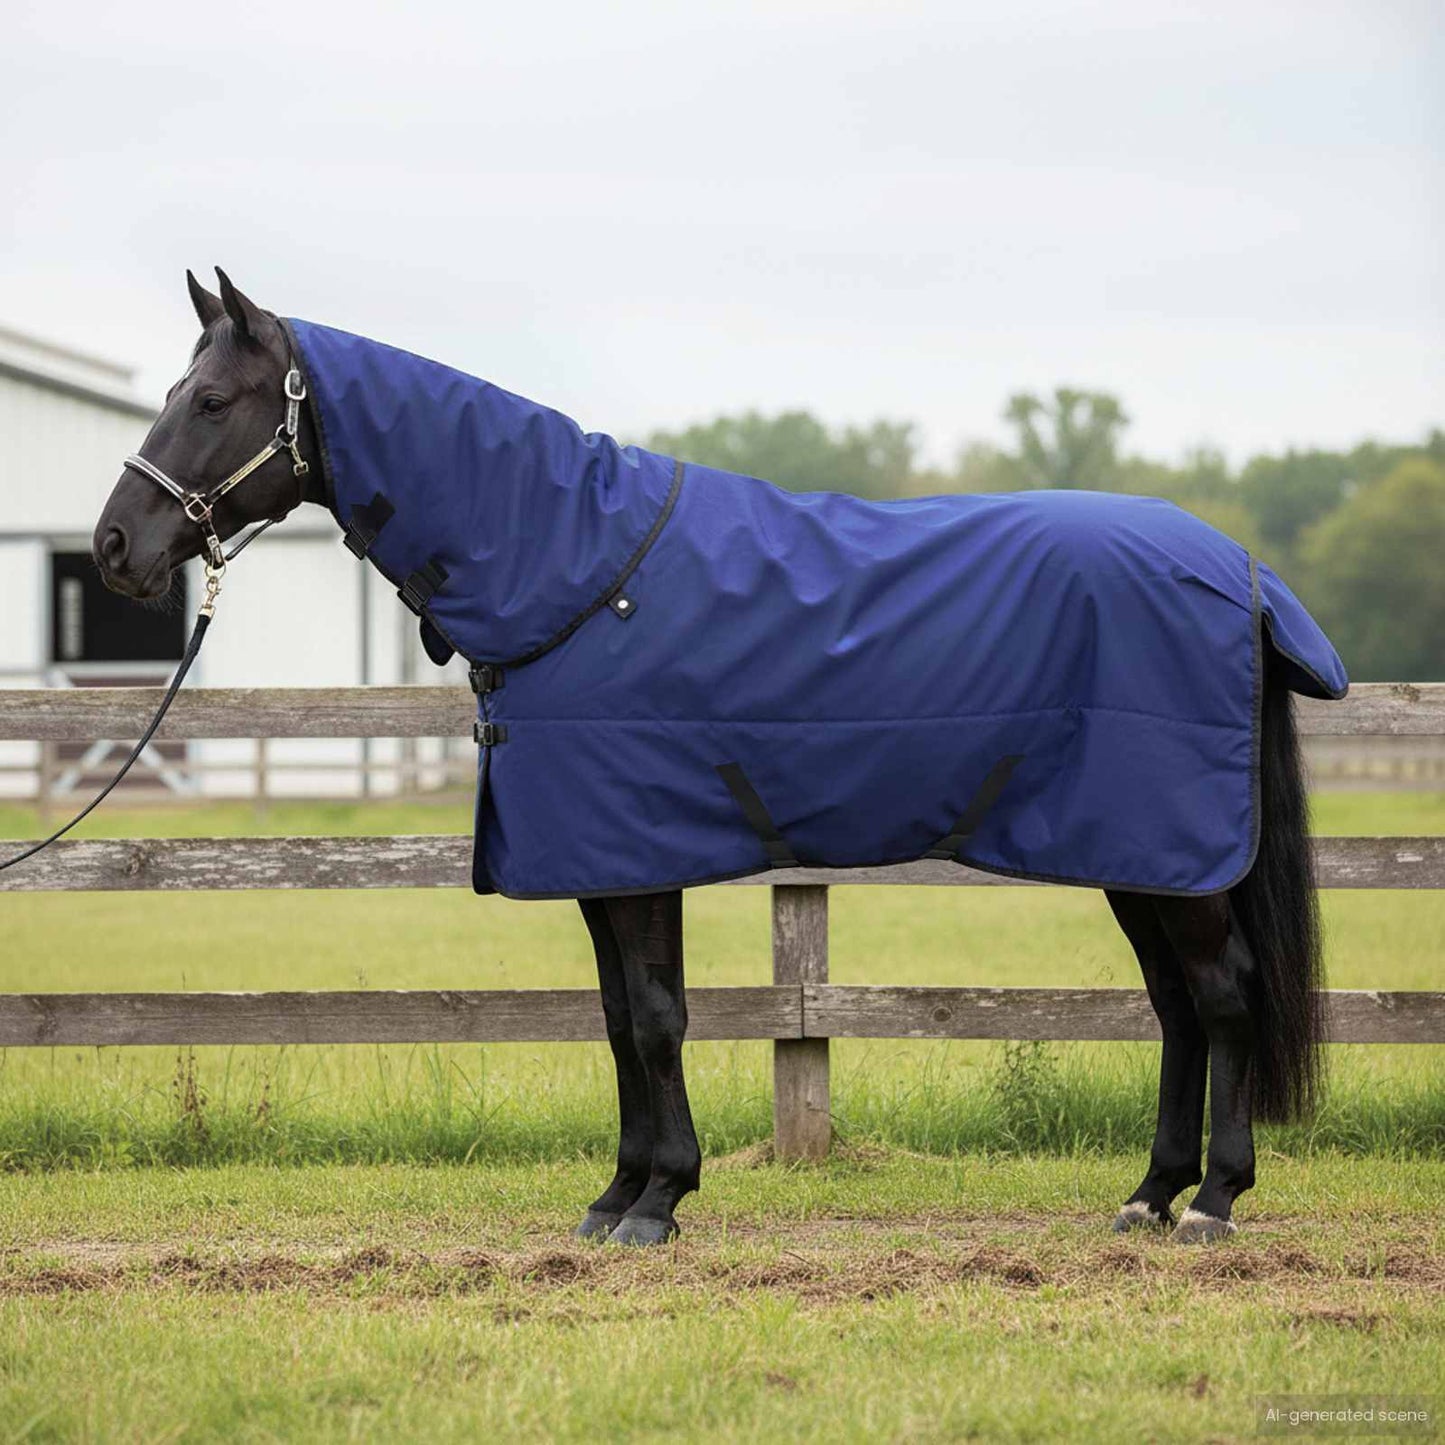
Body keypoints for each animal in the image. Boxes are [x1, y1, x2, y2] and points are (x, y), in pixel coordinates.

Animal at [92, 268, 1341, 1247]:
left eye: (211, 399)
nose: (114, 546)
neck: (576, 568)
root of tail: (1239, 572)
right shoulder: (599, 861)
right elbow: (615, 1018)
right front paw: (617, 1195)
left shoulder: (636, 853)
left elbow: (653, 1016)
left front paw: (657, 1201)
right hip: (1142, 856)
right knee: (1176, 1007)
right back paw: (1148, 1193)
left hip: (1167, 850)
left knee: (1221, 995)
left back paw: (1212, 1201)